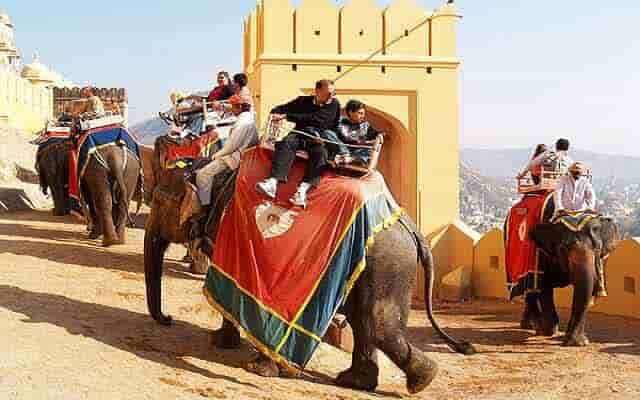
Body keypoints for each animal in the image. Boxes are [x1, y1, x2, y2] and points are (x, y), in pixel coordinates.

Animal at [146, 171, 476, 394]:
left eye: (159, 202)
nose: (168, 319)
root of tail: (411, 227)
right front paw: (227, 344)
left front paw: (228, 348)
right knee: (363, 320)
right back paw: (363, 381)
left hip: (388, 264)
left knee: (376, 324)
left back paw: (419, 380)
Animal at [520, 214, 620, 346]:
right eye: (564, 248)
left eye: (597, 248)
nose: (570, 341)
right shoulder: (542, 255)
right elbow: (545, 287)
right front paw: (549, 331)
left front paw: (579, 342)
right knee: (531, 290)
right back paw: (535, 327)